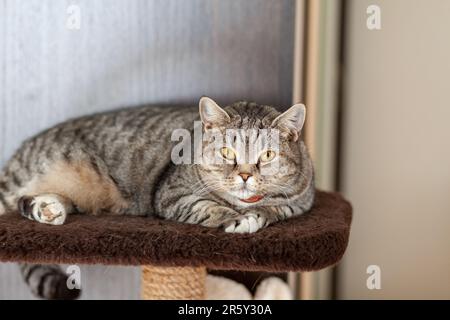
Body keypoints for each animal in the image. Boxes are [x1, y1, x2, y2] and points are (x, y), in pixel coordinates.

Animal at [0, 96, 312, 298]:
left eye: (268, 155)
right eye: (227, 153)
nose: (246, 175)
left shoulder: (302, 201)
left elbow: (278, 209)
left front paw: (260, 213)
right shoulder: (173, 195)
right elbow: (209, 207)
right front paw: (238, 219)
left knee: (29, 203)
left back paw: (49, 209)